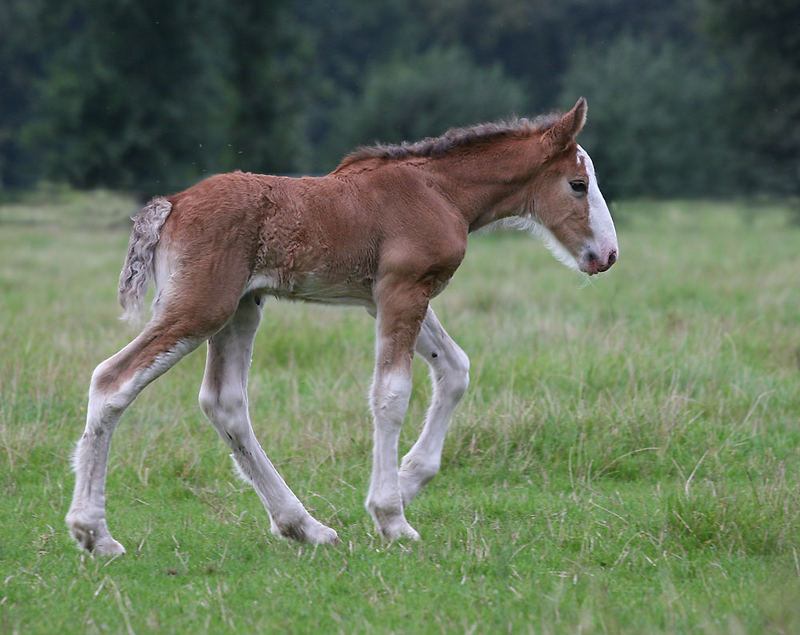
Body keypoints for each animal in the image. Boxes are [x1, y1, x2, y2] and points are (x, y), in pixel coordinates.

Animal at [69, 97, 620, 556]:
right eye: (578, 184)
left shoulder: (388, 298)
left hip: (241, 309)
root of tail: (172, 205)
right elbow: (392, 393)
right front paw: (391, 516)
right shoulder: (403, 290)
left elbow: (456, 369)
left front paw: (409, 478)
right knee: (113, 380)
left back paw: (304, 527)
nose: (608, 255)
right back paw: (95, 533)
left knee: (224, 404)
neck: (439, 191)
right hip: (201, 307)